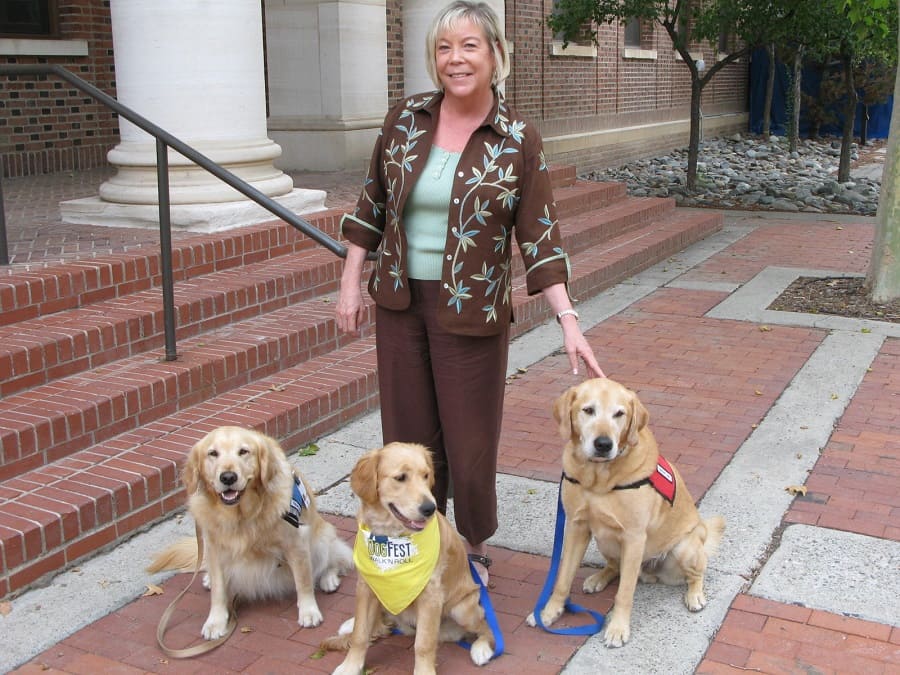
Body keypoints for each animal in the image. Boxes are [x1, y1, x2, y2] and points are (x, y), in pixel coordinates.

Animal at [148, 426, 352, 640]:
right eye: (213, 453)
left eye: (243, 451)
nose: (228, 477)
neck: (242, 516)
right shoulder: (214, 548)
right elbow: (218, 591)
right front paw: (215, 622)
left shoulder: (296, 542)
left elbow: (303, 581)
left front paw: (309, 612)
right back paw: (208, 580)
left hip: (321, 539)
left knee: (333, 560)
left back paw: (329, 579)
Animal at [322, 444, 496, 675]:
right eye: (400, 478)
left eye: (426, 475)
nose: (430, 508)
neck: (390, 537)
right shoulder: (366, 586)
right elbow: (360, 634)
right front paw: (350, 666)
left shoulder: (431, 597)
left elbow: (423, 644)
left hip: (462, 609)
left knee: (486, 627)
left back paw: (481, 649)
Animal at [528, 380, 724, 648]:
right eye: (588, 410)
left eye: (619, 414)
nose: (603, 444)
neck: (598, 481)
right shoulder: (577, 527)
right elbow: (562, 578)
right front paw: (549, 612)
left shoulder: (633, 537)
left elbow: (624, 593)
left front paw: (617, 629)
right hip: (605, 541)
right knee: (615, 567)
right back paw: (598, 578)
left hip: (684, 548)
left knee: (697, 572)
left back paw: (695, 595)